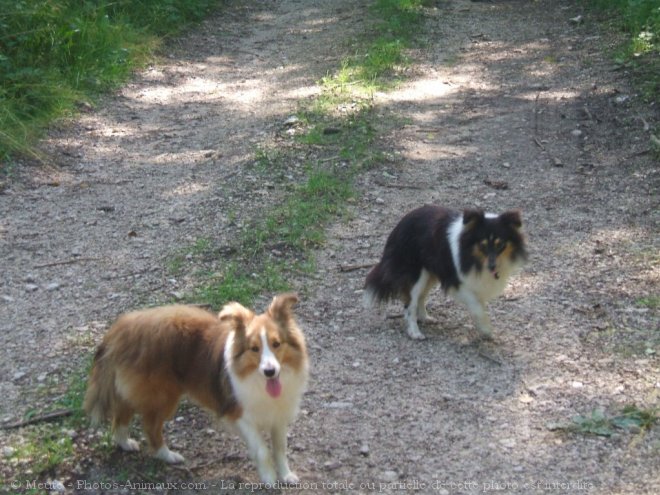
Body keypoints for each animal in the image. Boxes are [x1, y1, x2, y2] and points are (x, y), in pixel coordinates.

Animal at [84, 294, 308, 484]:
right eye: (254, 349)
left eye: (276, 344)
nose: (270, 371)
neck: (257, 379)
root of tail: (122, 328)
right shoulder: (241, 416)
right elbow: (262, 450)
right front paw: (269, 479)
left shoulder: (278, 414)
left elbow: (280, 448)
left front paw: (286, 475)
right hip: (163, 396)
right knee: (150, 427)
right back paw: (168, 455)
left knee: (121, 414)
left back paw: (125, 443)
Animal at [364, 205, 528, 340]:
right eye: (483, 244)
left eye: (500, 244)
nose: (492, 267)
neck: (473, 257)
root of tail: (398, 226)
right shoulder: (457, 281)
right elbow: (476, 306)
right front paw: (486, 329)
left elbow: (480, 305)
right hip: (417, 275)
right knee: (410, 303)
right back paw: (415, 332)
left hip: (431, 274)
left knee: (421, 297)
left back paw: (425, 318)